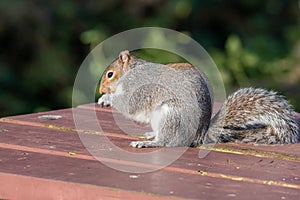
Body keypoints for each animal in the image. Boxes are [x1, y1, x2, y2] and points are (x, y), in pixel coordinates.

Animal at [97, 50, 298, 147]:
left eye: (110, 74)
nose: (100, 90)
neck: (131, 73)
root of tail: (200, 136)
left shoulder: (140, 88)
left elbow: (130, 105)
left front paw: (107, 98)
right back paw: (150, 134)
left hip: (171, 115)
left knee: (167, 141)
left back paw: (149, 143)